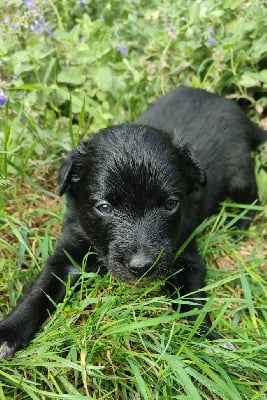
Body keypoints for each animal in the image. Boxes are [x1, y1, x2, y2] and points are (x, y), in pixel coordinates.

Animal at [1, 86, 266, 360]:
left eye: (171, 204)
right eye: (104, 207)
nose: (142, 267)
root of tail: (234, 108)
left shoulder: (186, 253)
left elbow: (192, 301)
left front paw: (208, 338)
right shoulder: (70, 249)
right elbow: (39, 290)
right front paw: (9, 331)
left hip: (240, 177)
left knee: (253, 199)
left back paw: (237, 227)